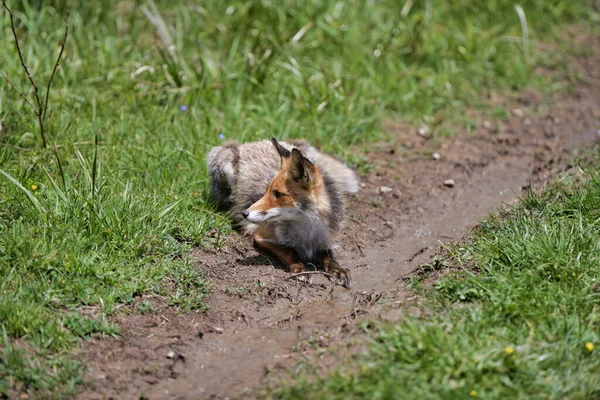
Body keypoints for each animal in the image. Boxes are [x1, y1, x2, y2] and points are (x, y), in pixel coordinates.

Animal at [207, 138, 356, 288]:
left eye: (278, 194)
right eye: (266, 191)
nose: (244, 213)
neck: (306, 233)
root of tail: (257, 142)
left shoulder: (324, 239)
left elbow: (328, 254)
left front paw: (337, 269)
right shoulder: (260, 236)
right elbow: (289, 250)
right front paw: (300, 269)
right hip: (225, 160)